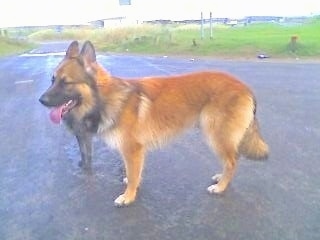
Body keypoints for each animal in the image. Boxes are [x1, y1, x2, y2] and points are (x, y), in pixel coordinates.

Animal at [38, 40, 268, 206]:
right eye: (52, 80)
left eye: (66, 82)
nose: (41, 101)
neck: (105, 98)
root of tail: (244, 86)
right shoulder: (133, 153)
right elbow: (133, 173)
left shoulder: (132, 150)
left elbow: (132, 175)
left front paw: (128, 197)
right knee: (231, 160)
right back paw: (220, 179)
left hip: (216, 135)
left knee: (232, 161)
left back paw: (221, 187)